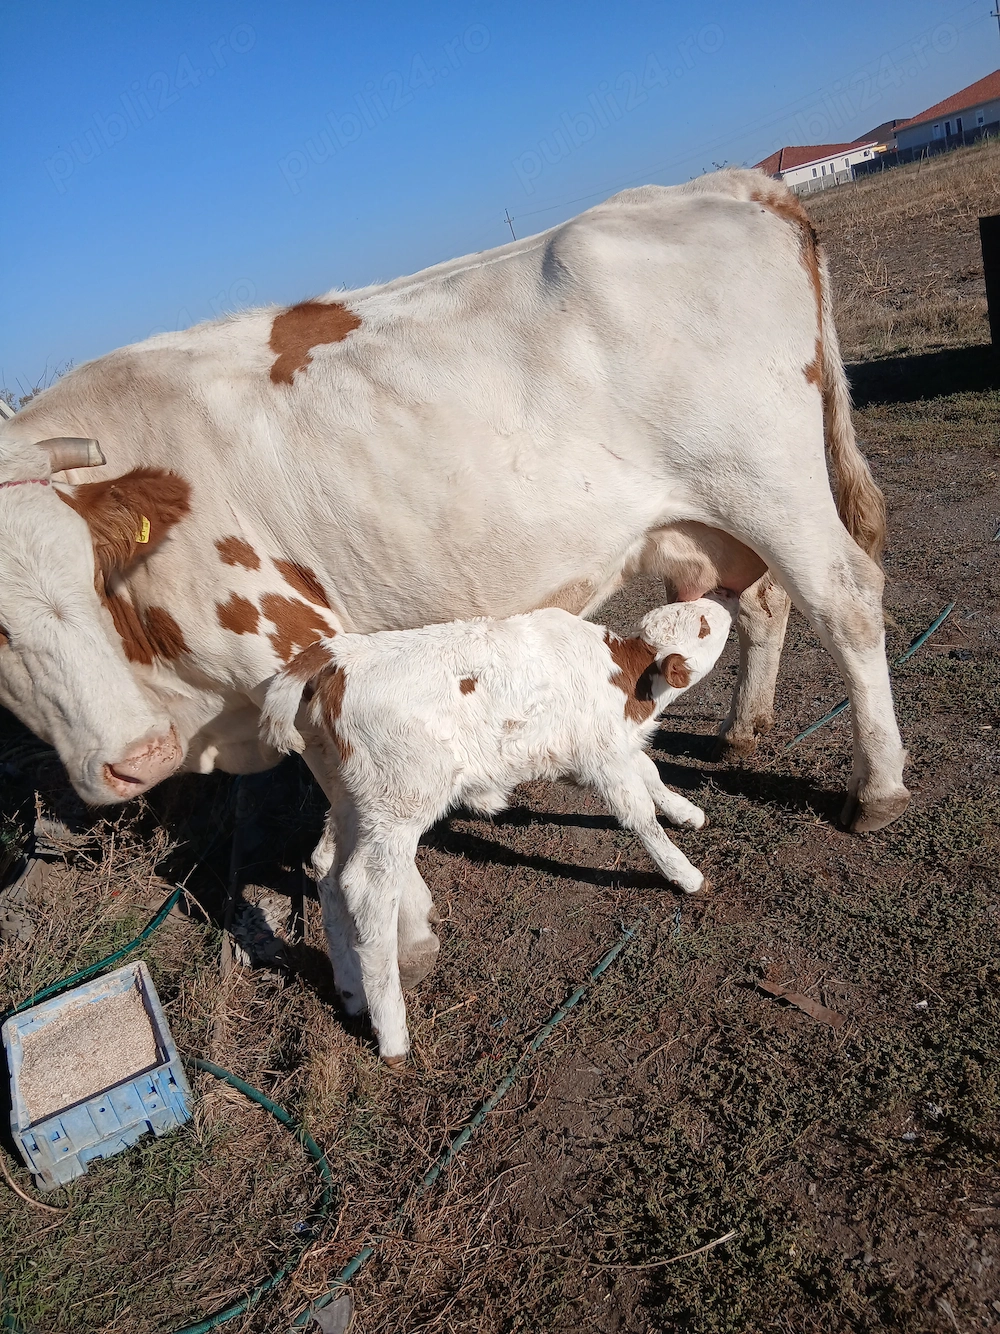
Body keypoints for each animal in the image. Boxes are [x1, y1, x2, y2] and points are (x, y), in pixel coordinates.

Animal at [0, 168, 908, 1000]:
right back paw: (742, 728)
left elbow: (357, 822)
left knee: (845, 598)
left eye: (88, 575)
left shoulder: (296, 647)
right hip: (718, 518)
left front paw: (404, 940)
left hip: (770, 486)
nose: (135, 759)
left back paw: (878, 788)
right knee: (762, 602)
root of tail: (729, 183)